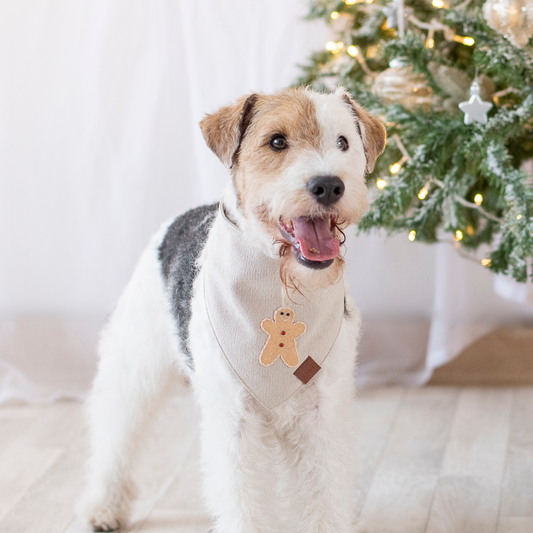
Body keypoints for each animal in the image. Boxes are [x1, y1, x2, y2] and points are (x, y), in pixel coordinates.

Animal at [79, 85, 384, 528]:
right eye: (277, 141)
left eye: (343, 142)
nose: (328, 186)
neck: (279, 289)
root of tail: (182, 217)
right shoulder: (237, 421)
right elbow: (243, 503)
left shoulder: (320, 417)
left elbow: (324, 496)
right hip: (135, 364)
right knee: (115, 430)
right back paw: (102, 505)